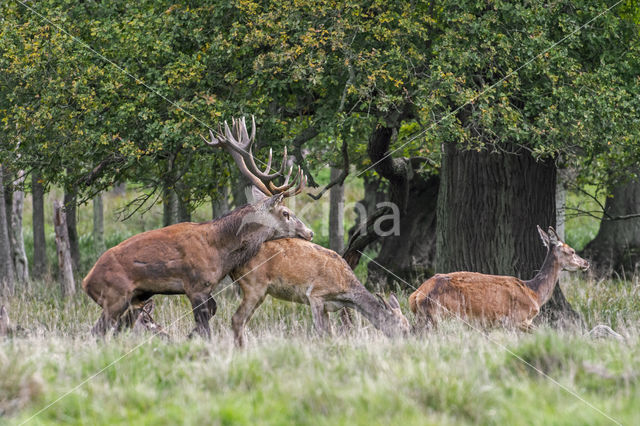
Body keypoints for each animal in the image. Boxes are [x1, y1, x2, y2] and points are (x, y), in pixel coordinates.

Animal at [84, 115, 314, 338]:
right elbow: (205, 327)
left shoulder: (207, 288)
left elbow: (212, 312)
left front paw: (188, 335)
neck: (221, 252)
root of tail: (86, 282)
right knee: (97, 331)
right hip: (114, 296)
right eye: (286, 213)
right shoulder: (196, 285)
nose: (309, 232)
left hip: (134, 297)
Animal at [230, 238, 410, 348]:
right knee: (237, 318)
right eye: (400, 327)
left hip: (260, 292)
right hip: (254, 285)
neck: (344, 291)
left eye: (408, 325)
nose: (407, 344)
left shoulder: (327, 305)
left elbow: (329, 332)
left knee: (243, 320)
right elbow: (320, 330)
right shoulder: (316, 294)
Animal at [410, 226, 592, 330]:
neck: (534, 294)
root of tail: (416, 296)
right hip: (444, 315)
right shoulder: (516, 319)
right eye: (572, 251)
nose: (586, 262)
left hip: (425, 318)